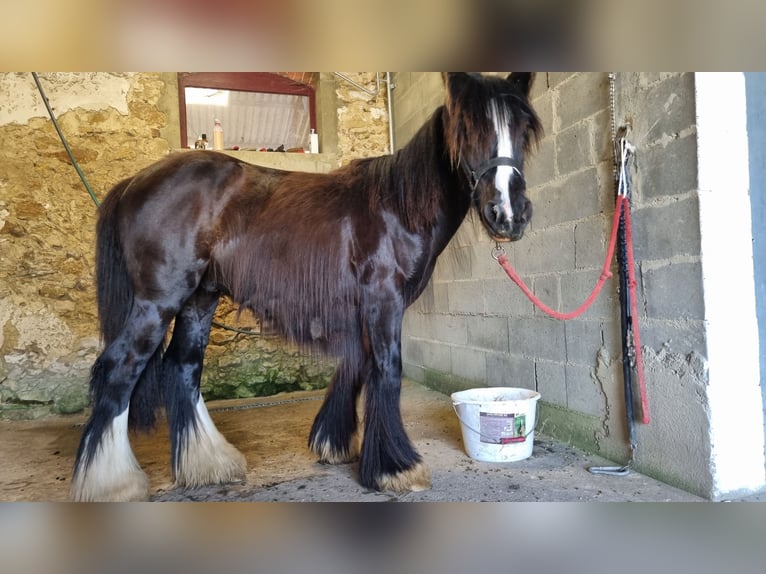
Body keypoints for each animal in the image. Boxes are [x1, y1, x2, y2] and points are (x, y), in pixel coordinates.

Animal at [70, 72, 542, 501]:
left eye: (523, 130)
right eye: (468, 128)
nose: (509, 214)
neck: (398, 206)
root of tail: (135, 182)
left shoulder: (363, 308)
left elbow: (355, 366)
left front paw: (335, 444)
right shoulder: (384, 300)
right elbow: (387, 369)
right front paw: (395, 468)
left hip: (199, 300)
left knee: (184, 367)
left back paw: (208, 464)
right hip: (159, 299)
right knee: (121, 368)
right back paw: (111, 483)